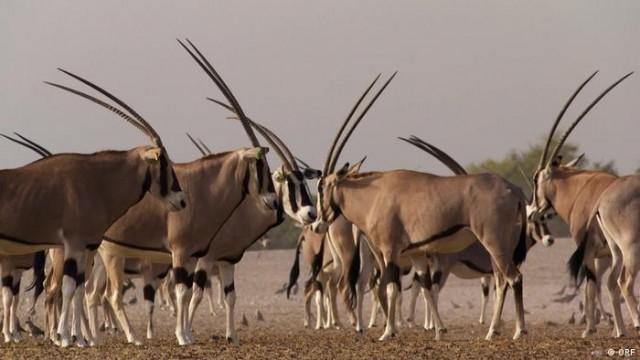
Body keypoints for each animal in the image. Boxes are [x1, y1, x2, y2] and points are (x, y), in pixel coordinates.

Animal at [0, 69, 188, 348]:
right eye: (164, 161)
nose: (182, 200)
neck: (97, 179)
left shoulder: (85, 247)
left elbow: (78, 289)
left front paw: (78, 339)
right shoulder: (74, 244)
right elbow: (69, 288)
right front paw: (64, 338)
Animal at [312, 73, 528, 340]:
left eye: (321, 187)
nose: (317, 224)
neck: (373, 194)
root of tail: (513, 188)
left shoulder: (390, 250)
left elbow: (393, 288)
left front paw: (388, 332)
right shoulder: (415, 254)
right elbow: (425, 289)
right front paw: (438, 331)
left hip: (494, 242)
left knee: (513, 278)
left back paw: (516, 331)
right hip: (502, 245)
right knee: (503, 280)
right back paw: (494, 331)